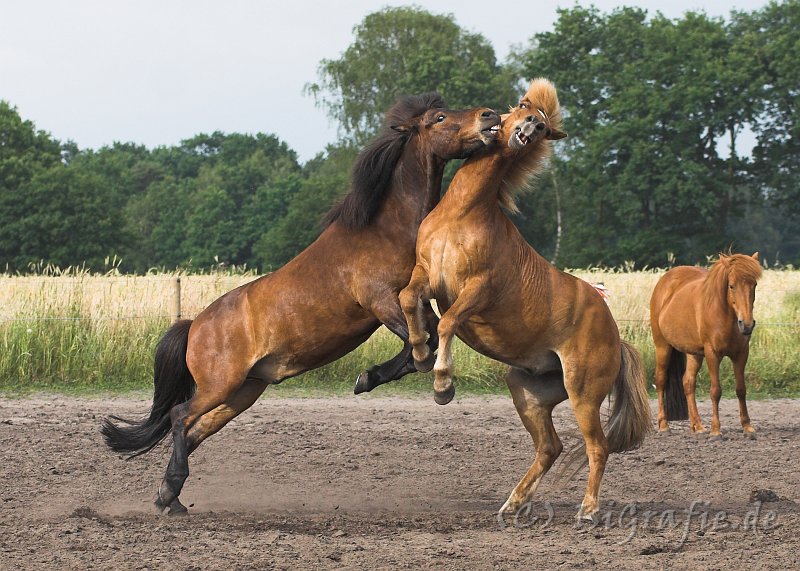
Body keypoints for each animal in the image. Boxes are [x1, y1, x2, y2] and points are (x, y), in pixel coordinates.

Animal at [100, 96, 500, 516]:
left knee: (195, 431)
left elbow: (429, 336)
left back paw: (168, 494)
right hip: (220, 386)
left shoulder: (413, 302)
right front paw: (379, 379)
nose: (489, 116)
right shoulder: (382, 303)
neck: (386, 233)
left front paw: (375, 377)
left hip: (244, 391)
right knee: (180, 417)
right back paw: (171, 497)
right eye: (439, 117)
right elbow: (422, 343)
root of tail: (193, 325)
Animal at [396, 80, 652, 524]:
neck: (462, 215)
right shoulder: (427, 275)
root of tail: (616, 337)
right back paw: (513, 503)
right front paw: (420, 353)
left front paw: (443, 383)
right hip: (528, 390)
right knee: (550, 447)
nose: (530, 125)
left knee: (597, 446)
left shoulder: (478, 289)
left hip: (583, 392)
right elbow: (407, 298)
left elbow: (447, 323)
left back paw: (588, 510)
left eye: (544, 126)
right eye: (521, 106)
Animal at [648, 254, 764, 438]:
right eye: (731, 286)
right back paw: (664, 425)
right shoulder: (712, 354)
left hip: (693, 354)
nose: (746, 325)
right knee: (660, 381)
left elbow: (741, 389)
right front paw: (716, 429)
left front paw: (747, 426)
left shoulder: (741, 354)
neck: (725, 314)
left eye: (754, 285)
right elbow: (715, 391)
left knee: (688, 383)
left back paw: (698, 426)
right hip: (662, 346)